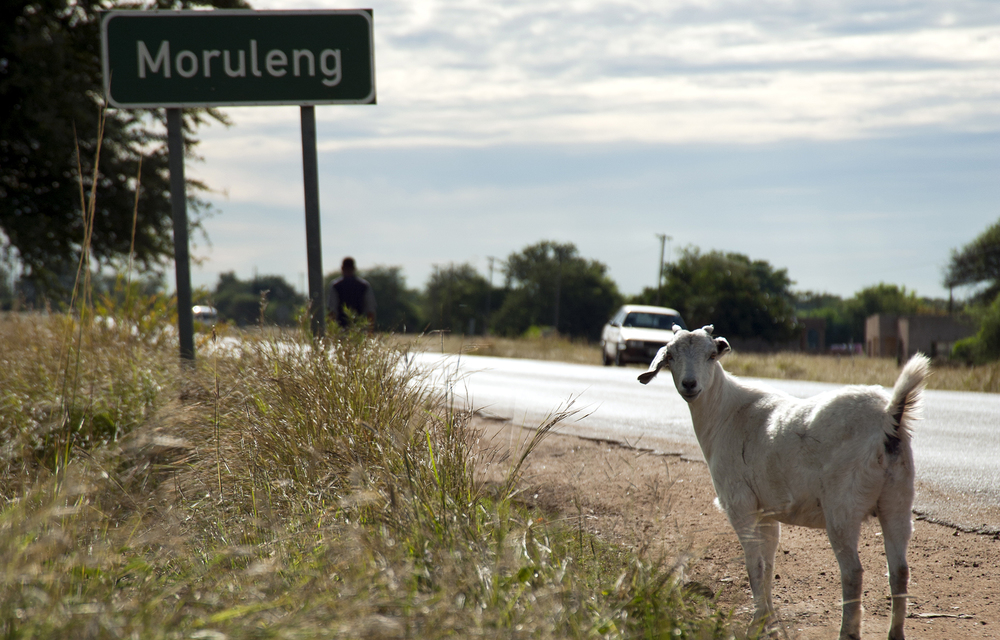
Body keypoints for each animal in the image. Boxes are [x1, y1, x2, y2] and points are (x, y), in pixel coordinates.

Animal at [640, 324, 928, 640]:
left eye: (711, 355)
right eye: (670, 355)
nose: (689, 384)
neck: (725, 414)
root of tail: (888, 418)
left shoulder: (739, 502)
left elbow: (754, 564)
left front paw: (755, 624)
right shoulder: (767, 510)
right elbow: (768, 564)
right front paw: (768, 620)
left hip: (843, 505)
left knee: (853, 572)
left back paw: (848, 632)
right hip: (897, 497)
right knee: (899, 571)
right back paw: (895, 633)